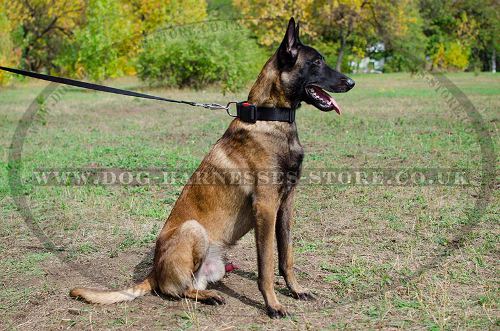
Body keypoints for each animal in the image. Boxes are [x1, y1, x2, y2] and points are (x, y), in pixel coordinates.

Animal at [69, 16, 356, 318]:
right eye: (316, 62)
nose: (352, 82)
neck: (270, 117)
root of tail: (153, 271)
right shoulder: (266, 206)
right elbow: (266, 265)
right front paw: (273, 304)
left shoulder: (286, 203)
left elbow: (286, 256)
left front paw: (296, 290)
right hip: (193, 229)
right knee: (174, 290)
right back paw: (207, 296)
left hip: (216, 264)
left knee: (189, 286)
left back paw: (209, 294)